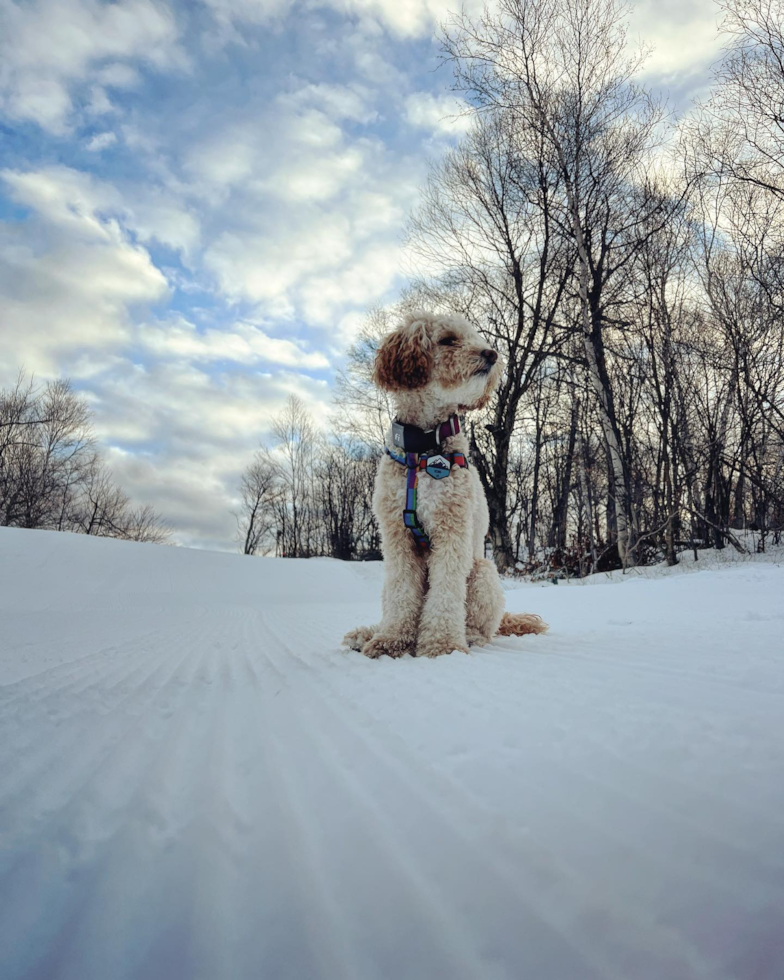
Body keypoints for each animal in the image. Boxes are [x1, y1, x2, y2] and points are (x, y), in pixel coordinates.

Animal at [344, 314, 544, 660]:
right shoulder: (396, 537)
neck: (423, 446)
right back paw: (368, 633)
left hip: (483, 572)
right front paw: (390, 640)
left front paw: (442, 645)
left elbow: (446, 592)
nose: (492, 354)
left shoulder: (452, 530)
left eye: (475, 338)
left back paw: (468, 636)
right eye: (448, 340)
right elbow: (401, 593)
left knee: (481, 625)